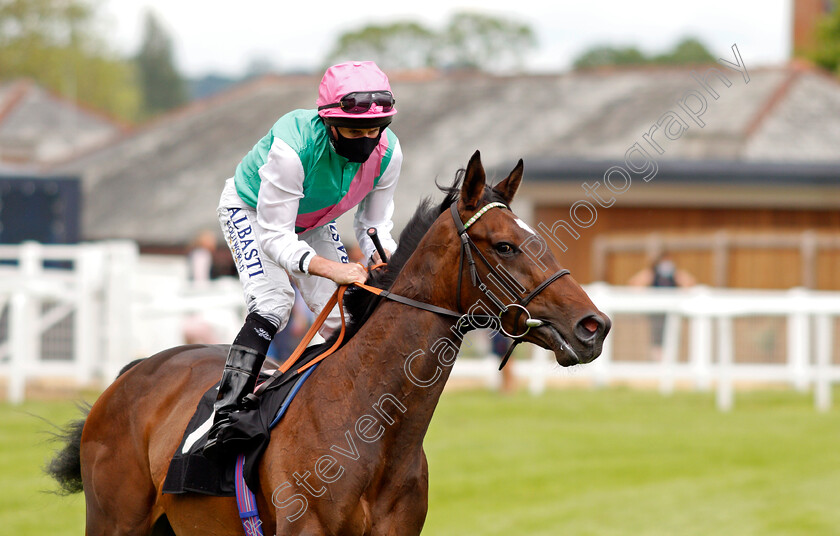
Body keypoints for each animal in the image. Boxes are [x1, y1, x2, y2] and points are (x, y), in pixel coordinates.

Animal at [47, 152, 612, 536]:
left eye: (536, 238)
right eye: (506, 245)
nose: (594, 326)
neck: (370, 425)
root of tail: (134, 372)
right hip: (115, 522)